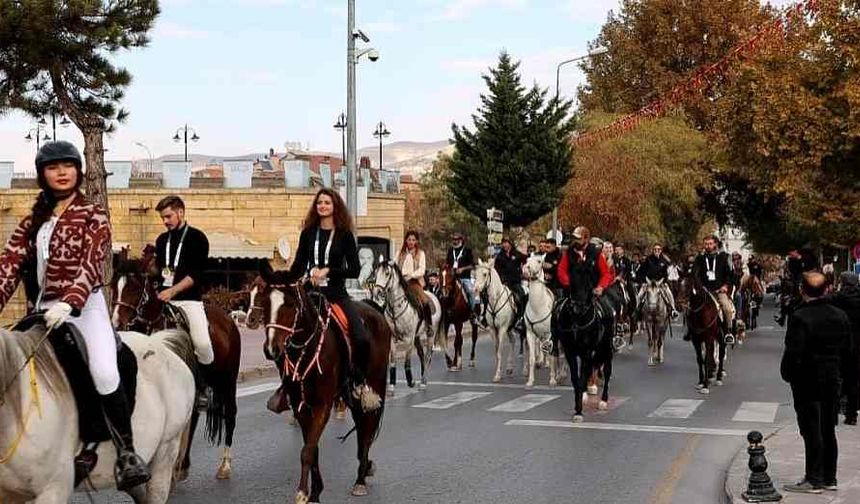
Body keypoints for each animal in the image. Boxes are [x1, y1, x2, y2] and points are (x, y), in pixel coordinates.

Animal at [109, 250, 242, 482]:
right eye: (114, 285)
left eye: (134, 287)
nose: (116, 323)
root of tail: (228, 319)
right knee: (194, 416)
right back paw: (182, 466)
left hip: (228, 381)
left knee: (230, 416)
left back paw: (224, 465)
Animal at [255, 266, 390, 502]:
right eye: (266, 302)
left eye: (290, 303)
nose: (271, 349)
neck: (306, 349)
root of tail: (375, 310)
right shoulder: (301, 407)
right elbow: (312, 447)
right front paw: (315, 491)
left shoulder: (322, 406)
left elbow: (308, 450)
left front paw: (302, 492)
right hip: (350, 394)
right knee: (361, 426)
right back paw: (364, 469)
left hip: (375, 383)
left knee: (367, 427)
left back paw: (360, 480)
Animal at [368, 262, 440, 392]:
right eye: (376, 273)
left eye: (387, 273)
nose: (377, 292)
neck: (396, 307)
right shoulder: (392, 338)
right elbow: (392, 360)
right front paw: (391, 385)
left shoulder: (409, 338)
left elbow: (407, 360)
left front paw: (410, 381)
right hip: (417, 337)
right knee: (421, 354)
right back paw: (423, 377)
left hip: (431, 333)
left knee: (427, 355)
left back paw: (423, 381)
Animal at [516, 254, 564, 388]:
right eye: (527, 260)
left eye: (539, 261)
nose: (526, 269)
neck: (538, 306)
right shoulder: (530, 334)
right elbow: (532, 358)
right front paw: (530, 381)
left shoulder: (549, 335)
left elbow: (552, 357)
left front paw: (552, 380)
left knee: (560, 354)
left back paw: (561, 374)